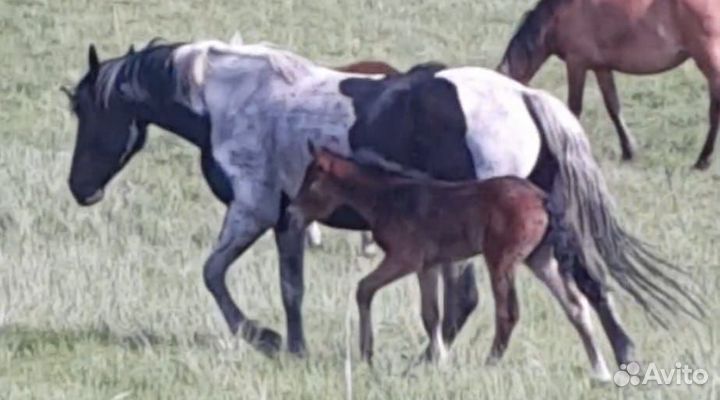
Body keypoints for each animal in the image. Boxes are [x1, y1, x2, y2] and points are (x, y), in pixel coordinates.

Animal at [289, 145, 612, 379]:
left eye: (312, 182)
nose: (292, 212)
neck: (388, 197)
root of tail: (543, 198)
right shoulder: (428, 265)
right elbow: (430, 314)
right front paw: (440, 360)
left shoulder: (405, 258)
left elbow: (364, 288)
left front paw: (367, 352)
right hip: (540, 259)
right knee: (575, 306)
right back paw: (601, 371)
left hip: (501, 260)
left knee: (507, 312)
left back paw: (489, 364)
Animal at [497, 0, 720, 169]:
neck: (558, 15)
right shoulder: (601, 68)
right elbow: (613, 107)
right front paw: (629, 152)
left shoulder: (576, 63)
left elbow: (574, 108)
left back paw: (703, 160)